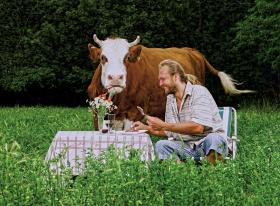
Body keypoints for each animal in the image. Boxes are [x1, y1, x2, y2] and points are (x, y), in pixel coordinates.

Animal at [87, 34, 254, 130]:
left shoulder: (134, 113)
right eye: (103, 57)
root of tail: (192, 50)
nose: (116, 78)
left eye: (127, 58)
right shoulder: (97, 113)